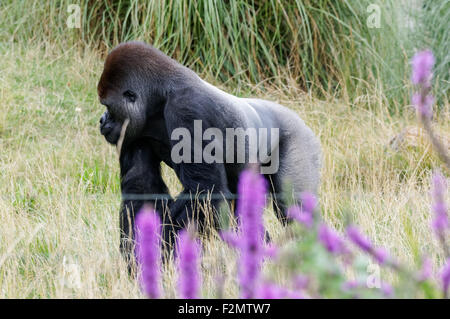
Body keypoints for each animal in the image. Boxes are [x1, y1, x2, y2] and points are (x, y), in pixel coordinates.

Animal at [97, 40, 320, 264]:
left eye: (108, 106)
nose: (102, 120)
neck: (160, 96)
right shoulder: (133, 131)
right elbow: (142, 188)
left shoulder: (188, 110)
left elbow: (205, 192)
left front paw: (159, 251)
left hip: (300, 140)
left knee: (293, 209)